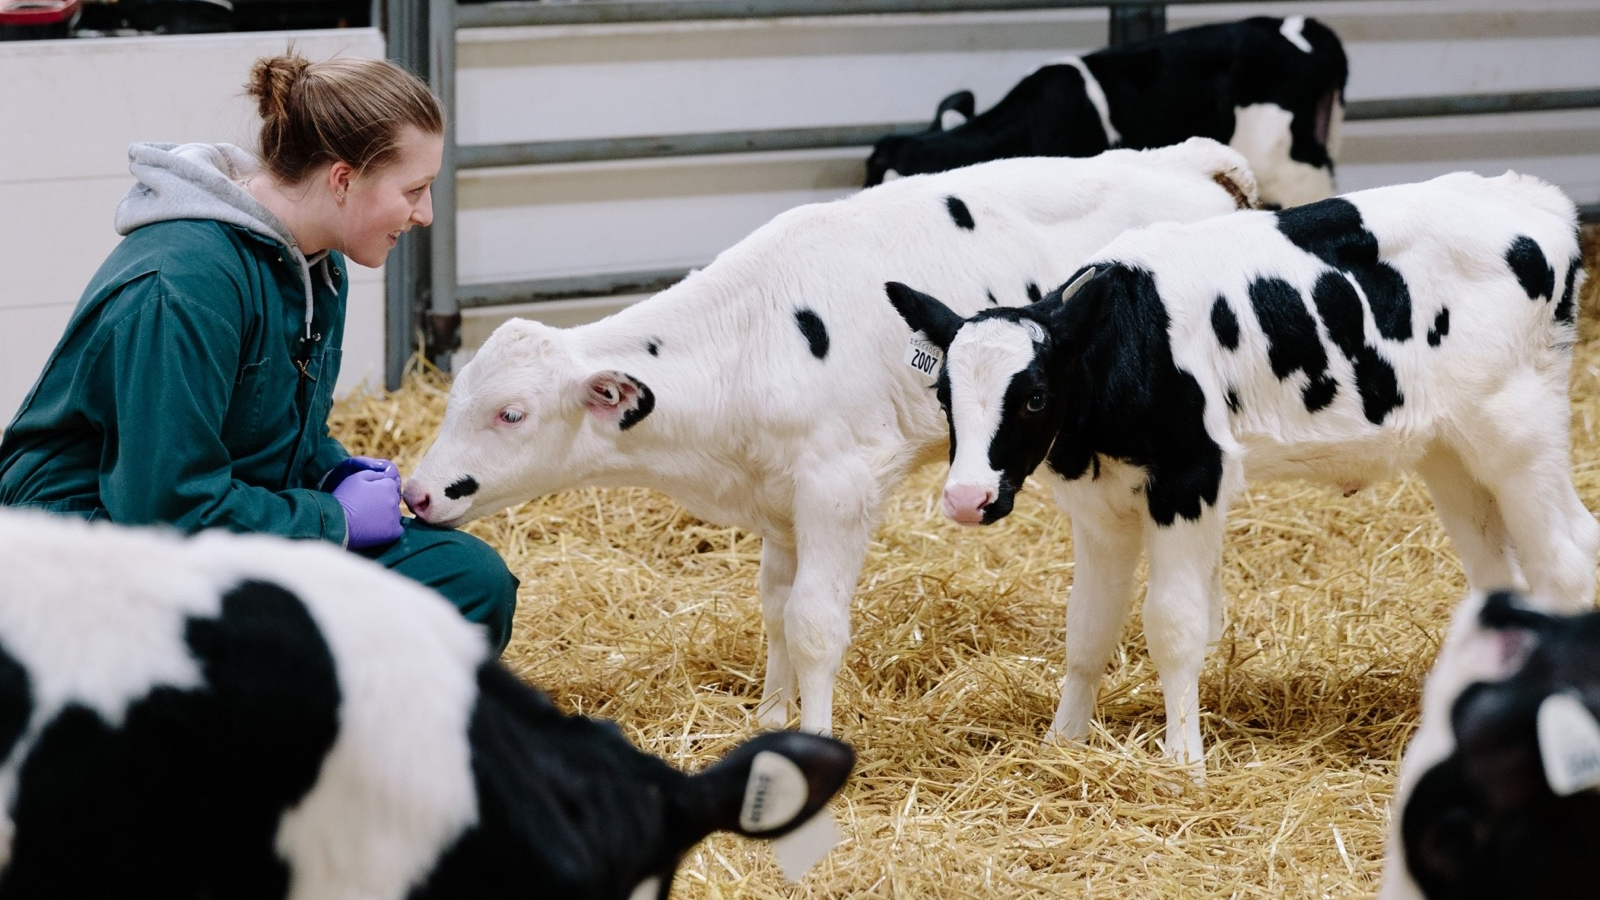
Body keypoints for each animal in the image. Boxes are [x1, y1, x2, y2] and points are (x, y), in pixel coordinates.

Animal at [400, 134, 1260, 736]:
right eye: (456, 398)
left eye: (511, 412)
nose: (416, 492)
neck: (748, 341)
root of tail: (1189, 160)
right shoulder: (780, 504)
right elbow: (777, 608)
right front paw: (771, 715)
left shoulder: (838, 488)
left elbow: (814, 624)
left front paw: (810, 734)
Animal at [889, 168, 1600, 762]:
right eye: (943, 393)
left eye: (1034, 396)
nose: (966, 498)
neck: (1132, 340)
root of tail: (1531, 197)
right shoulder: (1099, 507)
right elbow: (1087, 629)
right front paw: (1064, 742)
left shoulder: (1190, 479)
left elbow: (1173, 626)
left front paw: (1183, 762)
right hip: (1451, 452)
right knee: (1499, 577)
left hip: (1518, 432)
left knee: (1565, 560)